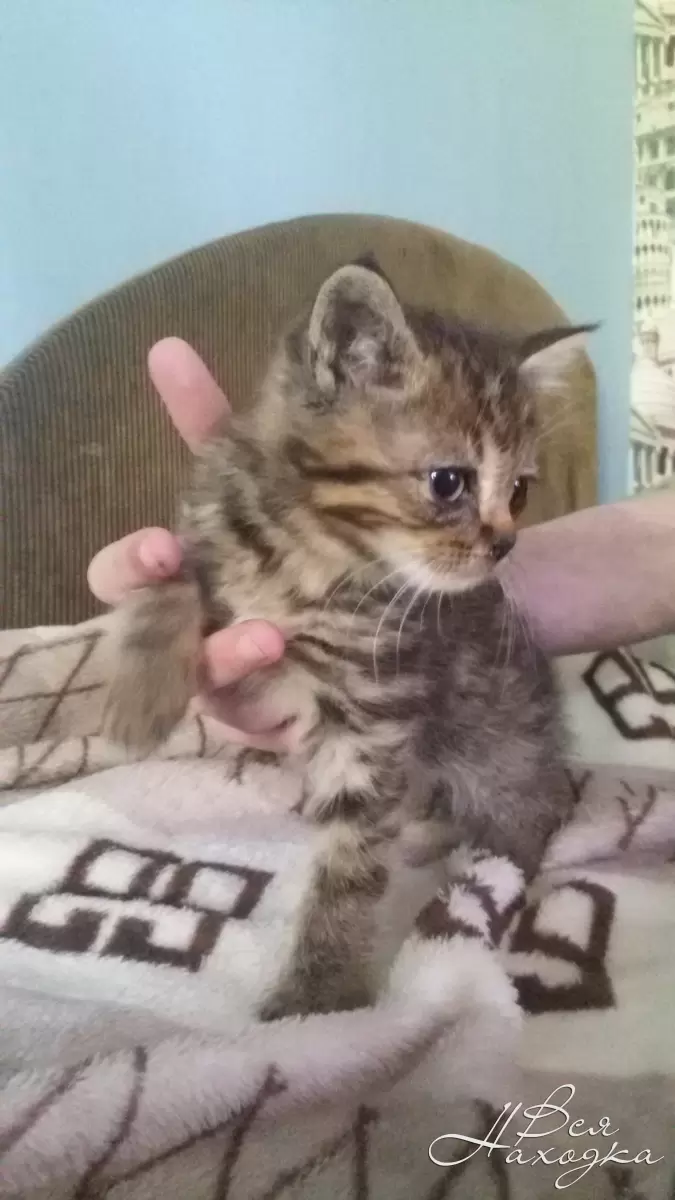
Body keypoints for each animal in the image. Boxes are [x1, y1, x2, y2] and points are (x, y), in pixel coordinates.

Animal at [103, 257, 593, 1020]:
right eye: (448, 482)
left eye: (518, 491)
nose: (504, 546)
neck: (312, 552)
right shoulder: (212, 537)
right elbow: (171, 577)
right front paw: (141, 695)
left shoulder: (373, 711)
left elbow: (352, 865)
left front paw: (319, 996)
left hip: (498, 742)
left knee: (527, 813)